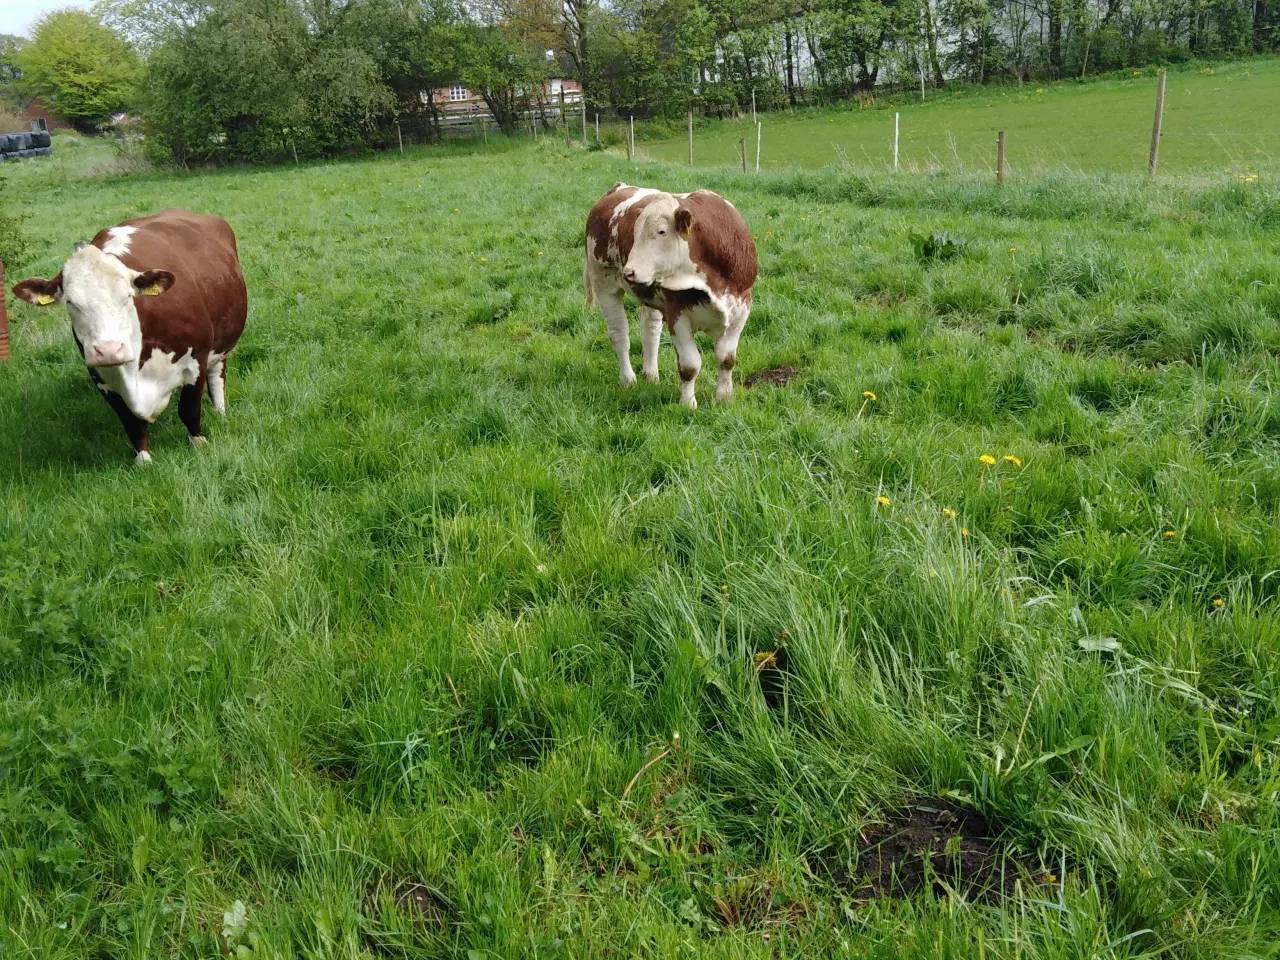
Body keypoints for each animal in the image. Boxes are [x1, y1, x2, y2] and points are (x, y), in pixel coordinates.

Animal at [13, 209, 248, 463]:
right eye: (70, 302)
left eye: (128, 296)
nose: (109, 350)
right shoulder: (103, 380)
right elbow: (132, 424)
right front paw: (143, 461)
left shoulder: (197, 359)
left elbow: (189, 410)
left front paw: (200, 445)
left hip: (221, 346)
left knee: (217, 377)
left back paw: (220, 412)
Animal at [586, 181, 752, 407]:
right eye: (635, 232)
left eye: (661, 231)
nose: (629, 272)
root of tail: (618, 188)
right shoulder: (678, 315)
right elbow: (690, 365)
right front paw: (688, 404)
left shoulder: (741, 310)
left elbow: (726, 359)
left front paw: (724, 397)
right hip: (605, 285)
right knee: (619, 333)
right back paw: (628, 379)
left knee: (650, 332)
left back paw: (651, 375)